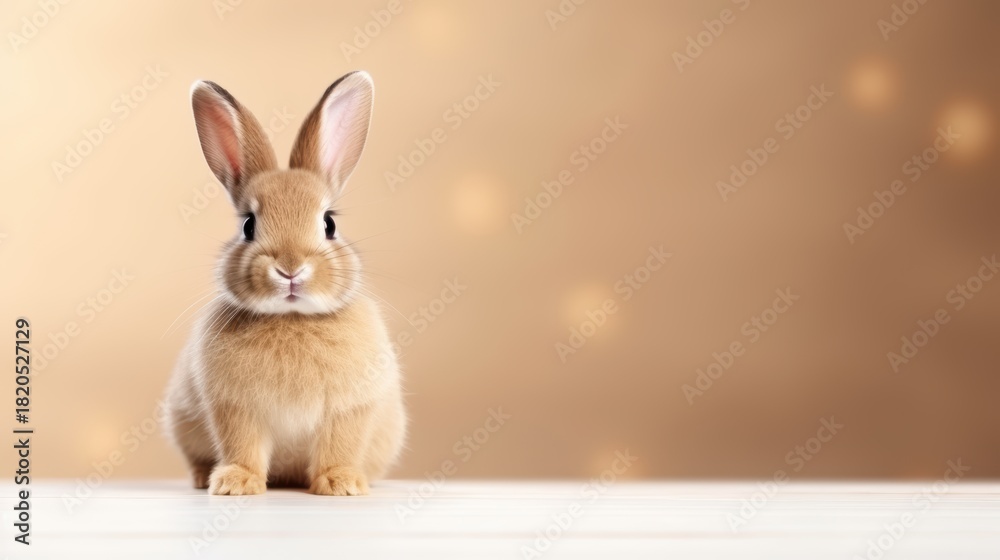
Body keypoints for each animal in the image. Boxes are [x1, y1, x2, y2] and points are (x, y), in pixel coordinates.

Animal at [163, 71, 406, 496]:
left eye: (329, 223)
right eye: (248, 225)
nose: (290, 269)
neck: (292, 318)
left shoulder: (348, 409)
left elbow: (339, 445)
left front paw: (341, 484)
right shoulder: (235, 409)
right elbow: (242, 445)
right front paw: (236, 484)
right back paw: (201, 478)